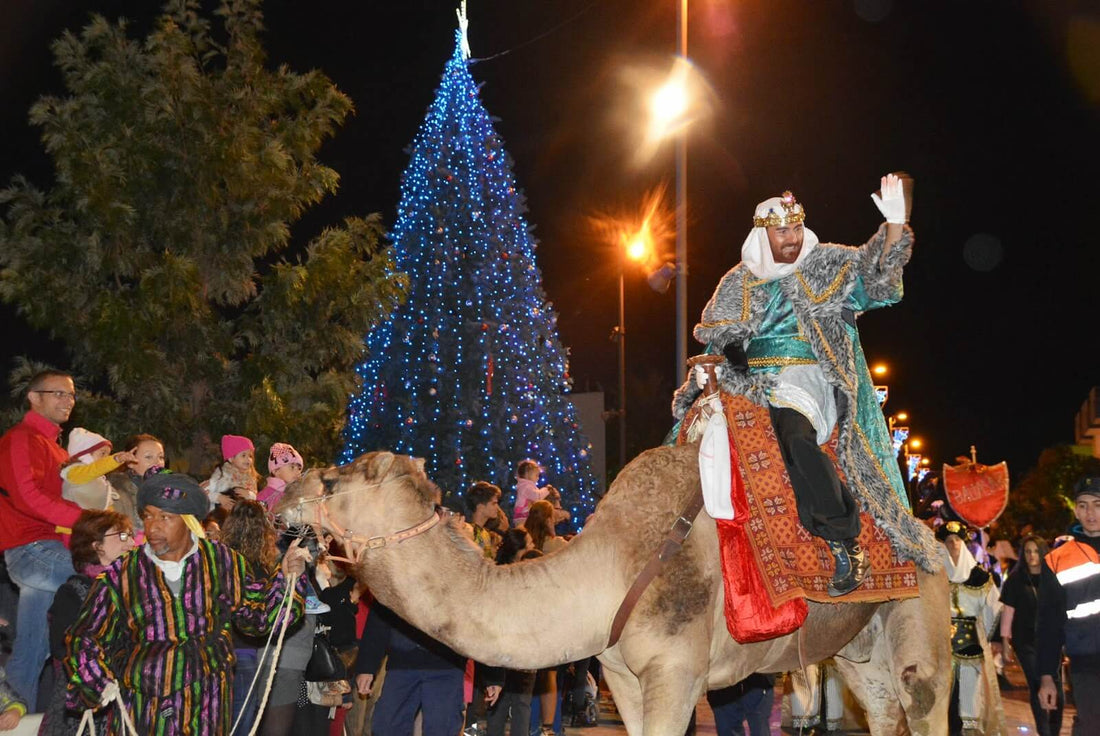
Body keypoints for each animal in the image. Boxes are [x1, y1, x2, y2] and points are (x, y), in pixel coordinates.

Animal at [281, 442, 954, 734]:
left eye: (334, 477)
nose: (285, 494)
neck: (606, 572)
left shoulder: (675, 671)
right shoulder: (625, 679)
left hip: (921, 608)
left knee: (923, 697)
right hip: (858, 645)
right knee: (884, 709)